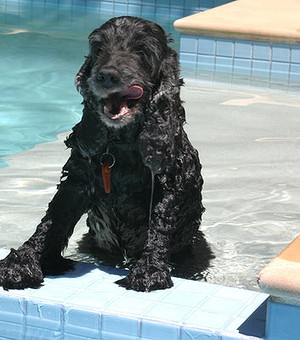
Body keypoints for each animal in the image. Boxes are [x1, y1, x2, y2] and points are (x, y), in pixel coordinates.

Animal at [0, 16, 211, 292]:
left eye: (142, 51)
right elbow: (53, 219)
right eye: (99, 48)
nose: (107, 75)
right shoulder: (77, 180)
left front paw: (149, 270)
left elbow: (159, 225)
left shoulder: (169, 183)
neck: (121, 146)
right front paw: (21, 262)